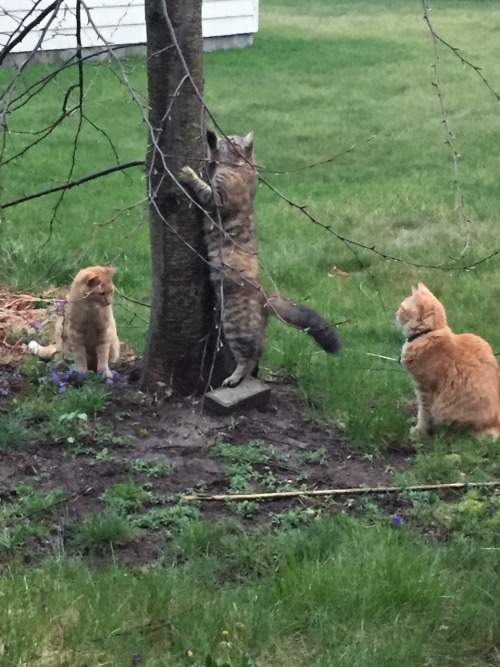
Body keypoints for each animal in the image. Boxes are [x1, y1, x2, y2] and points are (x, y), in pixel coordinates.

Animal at [180, 129, 340, 386]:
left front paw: (190, 172)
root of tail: (263, 295)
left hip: (235, 326)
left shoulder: (219, 198)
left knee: (250, 355)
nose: (219, 137)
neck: (242, 168)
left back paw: (235, 377)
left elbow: (204, 188)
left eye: (232, 139)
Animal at [396, 284, 498, 440]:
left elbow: (423, 414)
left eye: (402, 307)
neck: (428, 333)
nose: (396, 313)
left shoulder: (424, 389)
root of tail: (496, 424)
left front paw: (420, 431)